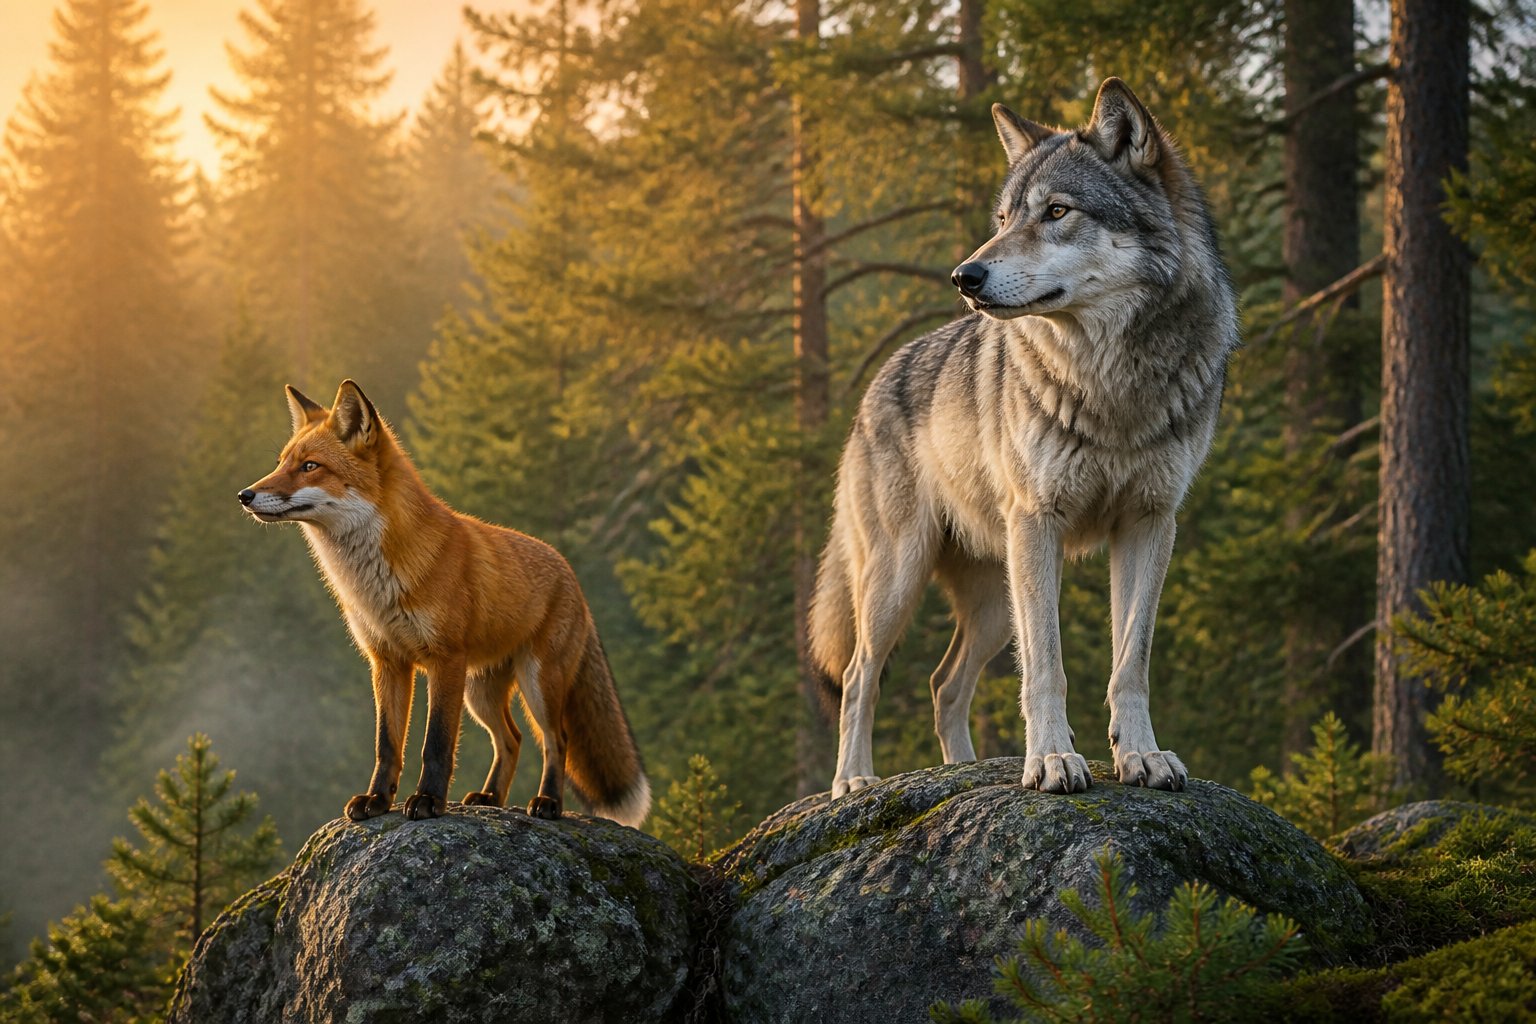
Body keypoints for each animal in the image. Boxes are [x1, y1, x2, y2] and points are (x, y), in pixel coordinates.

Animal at [238, 379, 650, 826]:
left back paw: (547, 803)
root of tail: (569, 571)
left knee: (557, 739)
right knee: (512, 739)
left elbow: (435, 744)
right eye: (281, 462)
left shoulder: (444, 658)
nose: (245, 494)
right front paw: (377, 800)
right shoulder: (387, 661)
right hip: (480, 692)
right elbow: (387, 745)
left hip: (537, 682)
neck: (376, 583)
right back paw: (491, 797)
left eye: (310, 466)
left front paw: (428, 801)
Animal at [810, 78, 1238, 797]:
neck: (1111, 379)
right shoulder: (1040, 524)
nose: (965, 276)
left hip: (991, 599)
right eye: (1005, 218)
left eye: (1057, 211)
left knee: (943, 685)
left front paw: (1142, 756)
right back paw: (855, 782)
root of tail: (875, 386)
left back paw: (961, 770)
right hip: (903, 579)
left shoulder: (1150, 522)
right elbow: (1046, 667)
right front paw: (1054, 761)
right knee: (858, 677)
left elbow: (1132, 662)